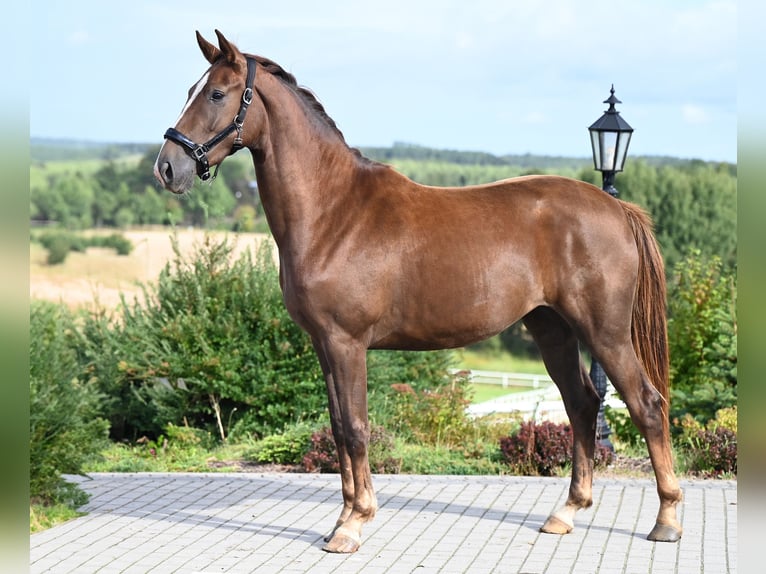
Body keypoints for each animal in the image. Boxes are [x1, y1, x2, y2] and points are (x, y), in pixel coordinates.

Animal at [154, 30, 684, 552]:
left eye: (216, 93)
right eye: (191, 90)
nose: (167, 167)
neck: (333, 211)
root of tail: (617, 209)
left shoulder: (347, 344)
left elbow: (356, 428)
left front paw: (354, 525)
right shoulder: (324, 346)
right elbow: (338, 429)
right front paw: (341, 520)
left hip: (605, 332)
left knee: (647, 405)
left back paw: (666, 520)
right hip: (552, 329)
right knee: (582, 404)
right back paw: (566, 513)